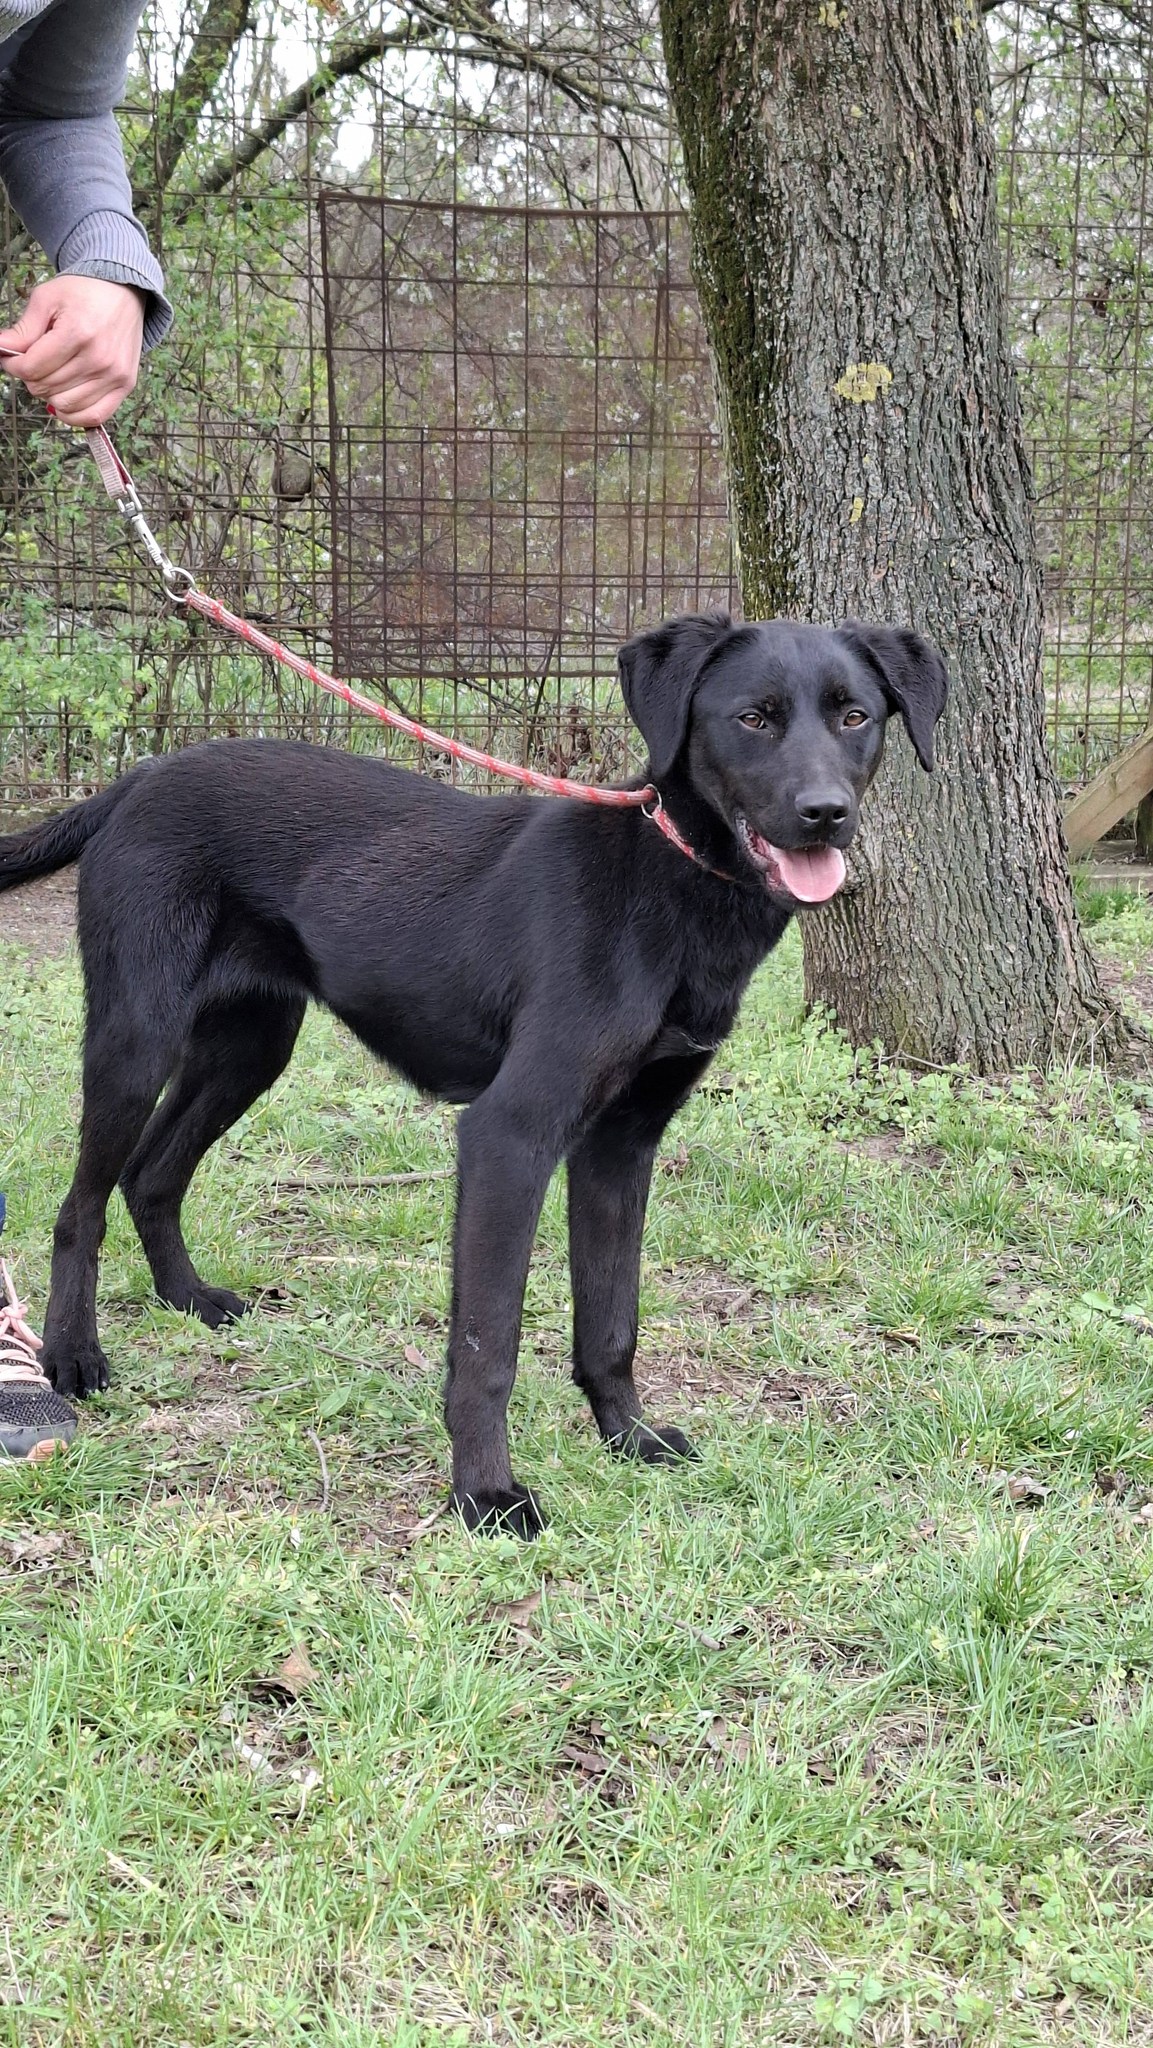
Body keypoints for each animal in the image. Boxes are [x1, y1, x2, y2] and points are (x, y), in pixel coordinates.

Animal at [0, 611, 946, 1534]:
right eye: (752, 718)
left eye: (853, 716)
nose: (824, 814)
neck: (667, 889)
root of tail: (139, 779)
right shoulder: (509, 1136)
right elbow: (489, 1344)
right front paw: (485, 1494)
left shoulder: (621, 1146)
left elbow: (612, 1323)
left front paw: (628, 1437)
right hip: (138, 1038)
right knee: (79, 1207)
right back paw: (73, 1354)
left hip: (249, 1048)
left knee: (154, 1174)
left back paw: (187, 1297)